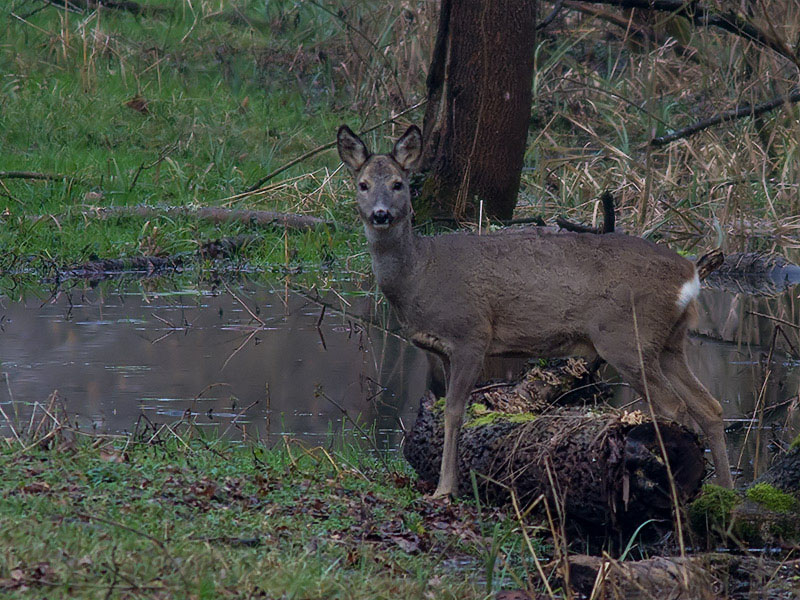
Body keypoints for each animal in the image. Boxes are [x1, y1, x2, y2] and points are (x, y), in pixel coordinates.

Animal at [334, 123, 736, 496]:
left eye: (399, 184)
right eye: (363, 184)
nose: (381, 214)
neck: (421, 275)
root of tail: (690, 274)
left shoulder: (472, 335)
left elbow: (454, 413)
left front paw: (445, 489)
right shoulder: (444, 349)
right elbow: (447, 409)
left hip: (627, 337)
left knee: (676, 407)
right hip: (669, 341)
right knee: (710, 407)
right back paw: (725, 493)